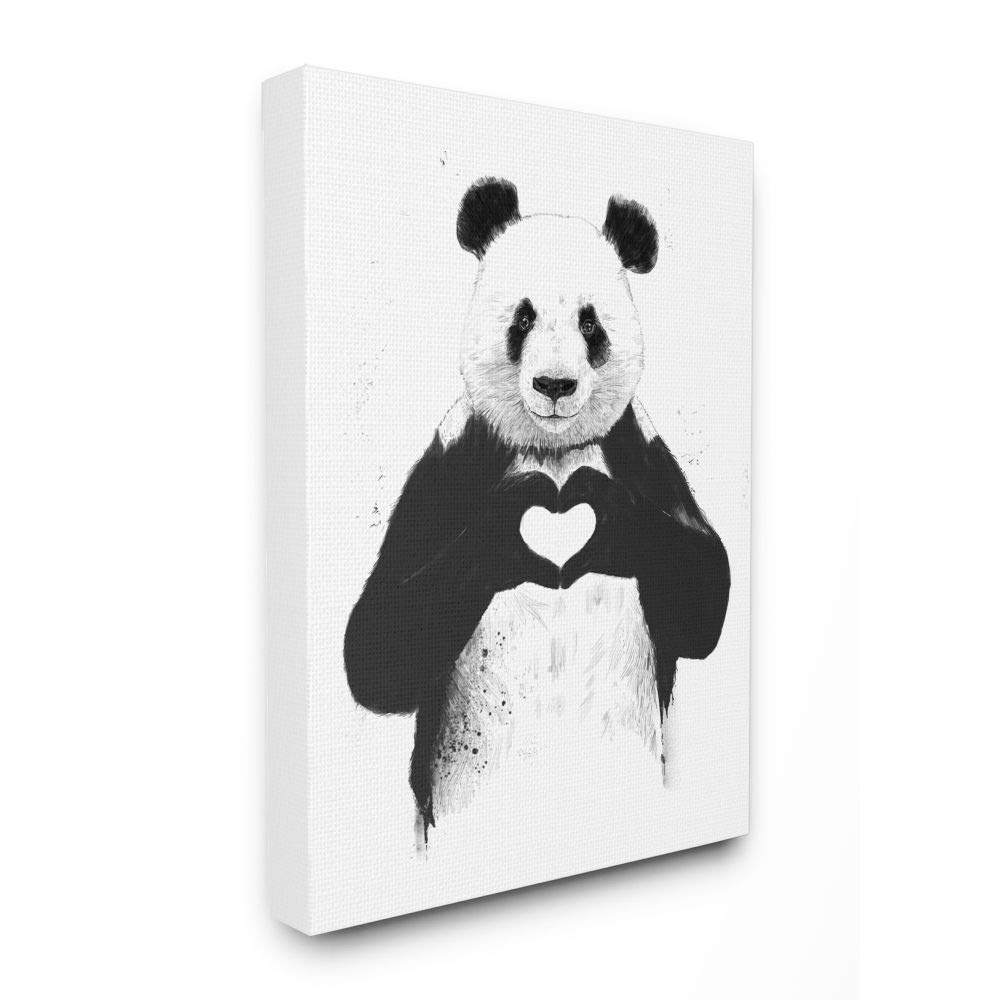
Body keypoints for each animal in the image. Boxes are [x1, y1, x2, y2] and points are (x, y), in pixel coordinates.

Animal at [344, 178, 730, 844]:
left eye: (590, 322)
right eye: (522, 318)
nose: (554, 386)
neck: (551, 453)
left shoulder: (640, 456)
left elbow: (701, 596)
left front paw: (600, 519)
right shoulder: (453, 466)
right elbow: (378, 648)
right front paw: (515, 528)